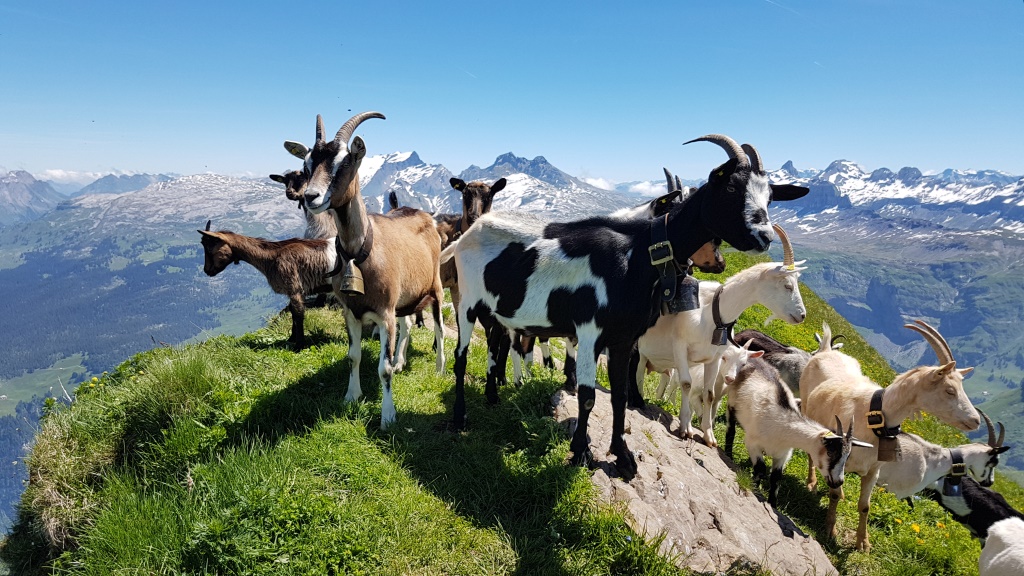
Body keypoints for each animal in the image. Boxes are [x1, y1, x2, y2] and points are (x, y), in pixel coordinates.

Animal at [197, 220, 336, 349]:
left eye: (209, 247)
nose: (207, 270)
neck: (272, 256)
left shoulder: (294, 288)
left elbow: (298, 314)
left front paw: (299, 345)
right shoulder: (293, 291)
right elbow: (292, 312)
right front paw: (291, 338)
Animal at [296, 112, 446, 430]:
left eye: (345, 162)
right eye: (306, 165)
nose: (311, 196)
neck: (361, 252)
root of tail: (423, 214)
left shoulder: (385, 312)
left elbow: (383, 368)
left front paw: (388, 416)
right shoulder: (351, 312)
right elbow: (353, 356)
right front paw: (352, 396)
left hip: (435, 286)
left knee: (439, 328)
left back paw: (440, 367)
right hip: (404, 298)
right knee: (408, 324)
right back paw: (402, 361)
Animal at [633, 223, 807, 447]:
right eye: (787, 285)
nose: (802, 315)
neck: (711, 313)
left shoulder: (713, 359)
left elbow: (709, 394)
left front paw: (708, 435)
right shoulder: (680, 347)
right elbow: (687, 384)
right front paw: (685, 428)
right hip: (639, 350)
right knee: (636, 373)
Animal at [724, 350, 873, 506]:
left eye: (847, 456)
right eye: (831, 451)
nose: (838, 482)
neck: (783, 424)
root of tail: (753, 359)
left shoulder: (783, 454)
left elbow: (776, 478)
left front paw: (772, 504)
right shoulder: (752, 443)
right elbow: (760, 469)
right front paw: (754, 488)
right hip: (731, 403)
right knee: (731, 430)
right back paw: (728, 454)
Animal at [799, 320, 981, 552]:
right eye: (950, 390)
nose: (976, 420)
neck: (871, 417)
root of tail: (826, 350)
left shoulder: (873, 470)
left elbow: (865, 506)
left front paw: (863, 543)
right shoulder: (838, 458)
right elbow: (833, 493)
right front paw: (830, 530)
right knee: (810, 454)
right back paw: (812, 483)